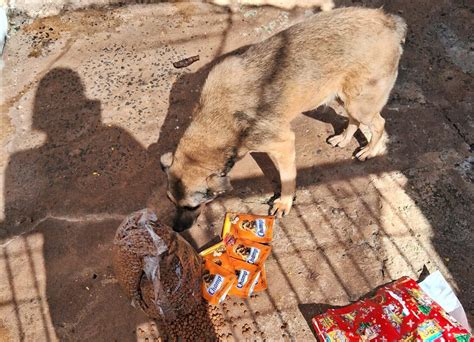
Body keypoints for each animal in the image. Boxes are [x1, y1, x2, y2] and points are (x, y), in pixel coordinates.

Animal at [161, 7, 406, 230]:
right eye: (170, 202)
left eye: (192, 207)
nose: (176, 229)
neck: (217, 118)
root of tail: (388, 21)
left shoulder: (283, 144)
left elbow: (288, 179)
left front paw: (284, 203)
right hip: (346, 97)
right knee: (354, 120)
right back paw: (344, 139)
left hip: (360, 104)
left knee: (379, 123)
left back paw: (369, 151)